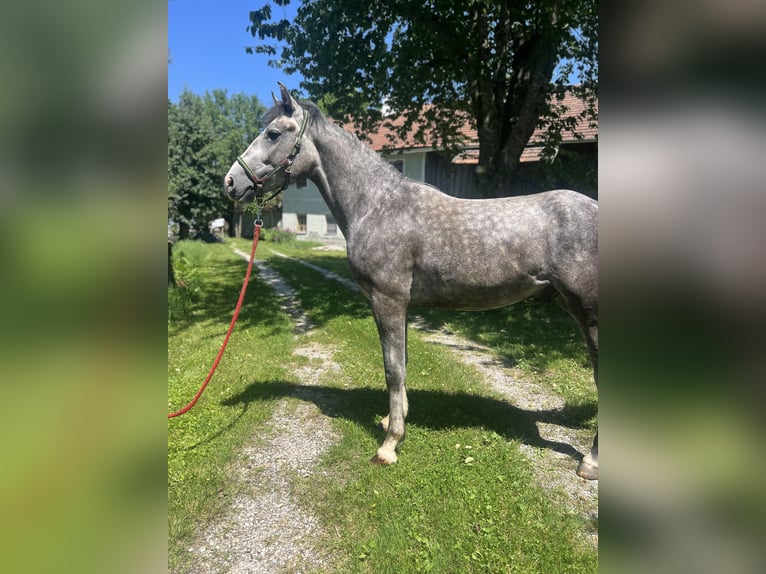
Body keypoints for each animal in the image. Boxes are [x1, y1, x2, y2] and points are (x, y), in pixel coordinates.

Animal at [224, 84, 598, 480]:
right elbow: (401, 365)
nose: (231, 182)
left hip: (589, 315)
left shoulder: (387, 301)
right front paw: (394, 419)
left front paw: (389, 445)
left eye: (273, 133)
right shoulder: (399, 306)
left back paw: (589, 463)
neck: (377, 206)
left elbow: (393, 369)